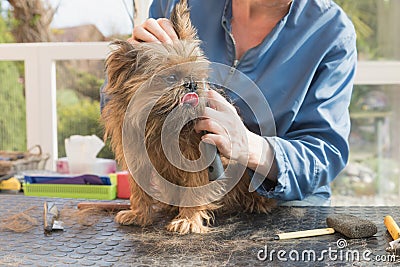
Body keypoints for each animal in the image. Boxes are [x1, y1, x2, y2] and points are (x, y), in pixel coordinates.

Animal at [101, 0, 276, 234]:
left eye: (195, 73)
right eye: (170, 77)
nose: (191, 84)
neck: (159, 124)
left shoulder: (197, 159)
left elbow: (193, 190)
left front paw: (188, 220)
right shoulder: (136, 157)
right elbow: (139, 190)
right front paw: (138, 214)